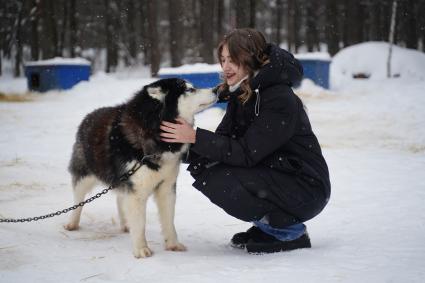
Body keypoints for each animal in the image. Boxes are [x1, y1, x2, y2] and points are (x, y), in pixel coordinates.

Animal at [64, 79, 217, 258]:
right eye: (189, 89)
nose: (217, 89)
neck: (154, 130)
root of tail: (89, 115)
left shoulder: (167, 188)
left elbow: (169, 220)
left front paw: (173, 244)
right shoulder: (137, 191)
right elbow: (140, 222)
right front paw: (141, 249)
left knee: (120, 199)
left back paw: (125, 224)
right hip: (85, 175)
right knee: (78, 200)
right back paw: (72, 223)